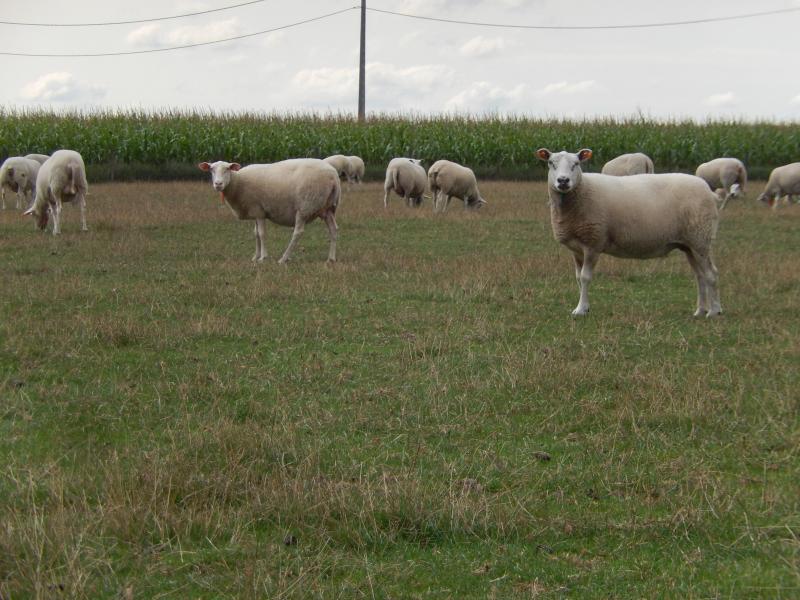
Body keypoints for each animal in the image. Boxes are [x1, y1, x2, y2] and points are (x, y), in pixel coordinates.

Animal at [200, 158, 340, 264]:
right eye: (211, 169)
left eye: (227, 169)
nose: (218, 184)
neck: (238, 182)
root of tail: (333, 175)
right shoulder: (255, 212)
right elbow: (255, 233)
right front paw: (255, 257)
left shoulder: (259, 211)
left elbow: (262, 234)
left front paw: (263, 257)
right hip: (328, 208)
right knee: (333, 229)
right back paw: (331, 258)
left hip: (305, 206)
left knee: (298, 232)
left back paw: (283, 258)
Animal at [536, 149, 720, 316]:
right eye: (551, 163)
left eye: (576, 164)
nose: (563, 181)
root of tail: (708, 190)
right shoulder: (577, 248)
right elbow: (577, 277)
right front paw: (583, 307)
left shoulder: (593, 243)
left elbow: (585, 277)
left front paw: (581, 310)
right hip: (689, 244)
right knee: (700, 276)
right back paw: (700, 311)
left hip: (701, 238)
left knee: (711, 274)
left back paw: (714, 311)